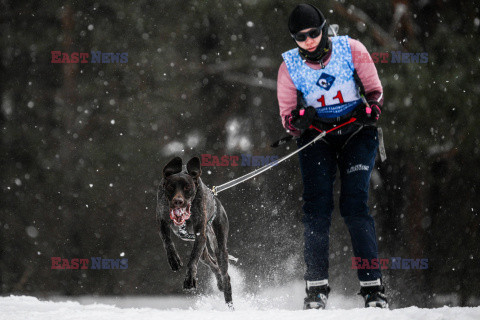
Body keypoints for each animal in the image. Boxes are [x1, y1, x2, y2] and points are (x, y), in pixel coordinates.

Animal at [158, 156, 232, 306]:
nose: (178, 201)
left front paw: (190, 278)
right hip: (203, 252)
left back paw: (228, 298)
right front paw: (174, 259)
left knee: (224, 272)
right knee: (213, 264)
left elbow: (192, 260)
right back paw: (220, 283)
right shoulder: (162, 220)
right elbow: (167, 241)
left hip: (219, 245)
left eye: (187, 187)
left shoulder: (200, 235)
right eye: (171, 187)